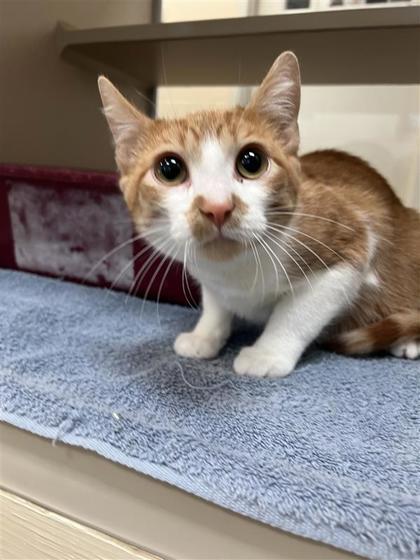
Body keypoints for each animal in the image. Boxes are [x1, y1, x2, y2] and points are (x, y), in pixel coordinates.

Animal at [97, 51, 420, 376]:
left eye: (251, 162)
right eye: (169, 169)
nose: (217, 207)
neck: (236, 272)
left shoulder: (351, 243)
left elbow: (296, 313)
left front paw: (267, 354)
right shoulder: (212, 279)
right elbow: (215, 303)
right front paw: (205, 334)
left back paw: (407, 342)